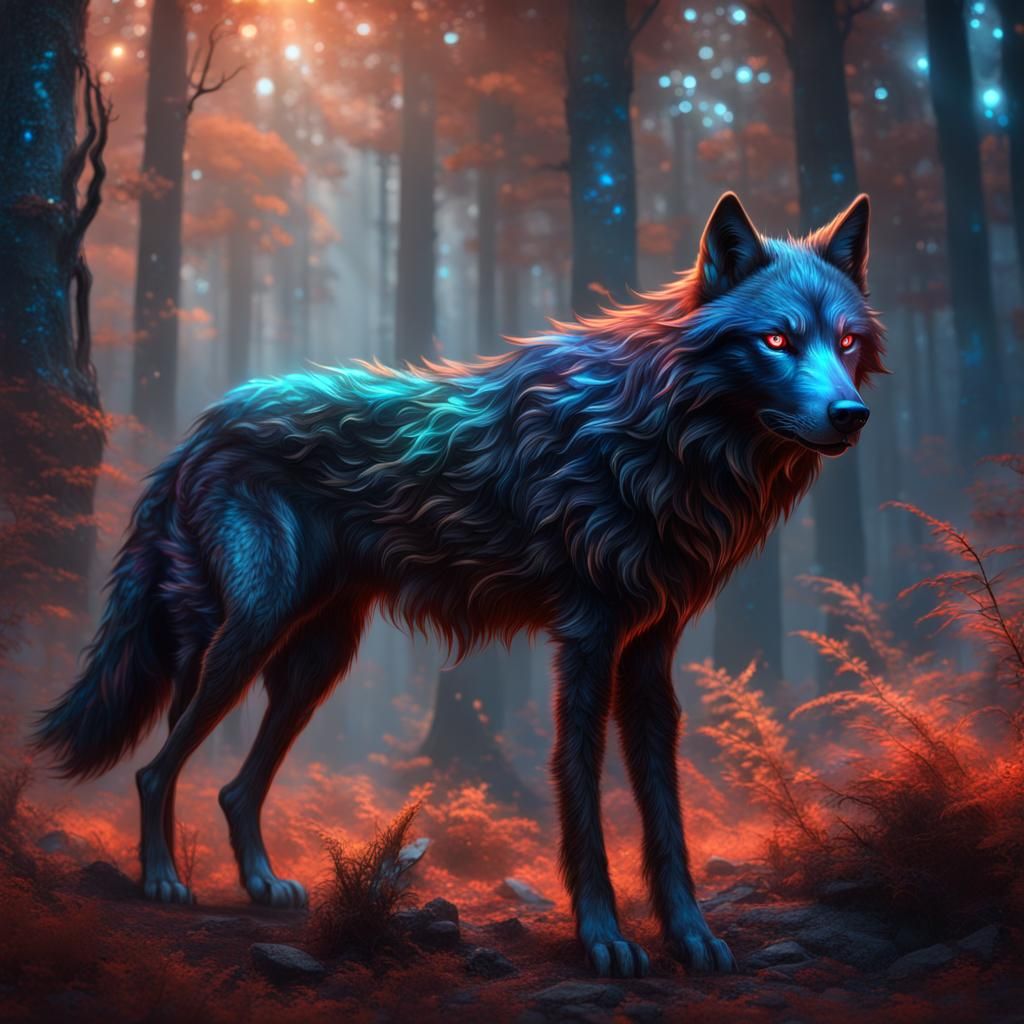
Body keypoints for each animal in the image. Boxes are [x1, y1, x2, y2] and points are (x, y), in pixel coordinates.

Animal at [35, 192, 884, 978]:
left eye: (845, 340)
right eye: (776, 340)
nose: (852, 414)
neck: (657, 433)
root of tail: (201, 428)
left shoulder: (649, 657)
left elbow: (665, 815)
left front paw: (691, 938)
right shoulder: (586, 642)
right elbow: (580, 793)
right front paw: (604, 940)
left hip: (315, 664)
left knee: (235, 788)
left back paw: (261, 886)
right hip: (249, 637)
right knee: (154, 768)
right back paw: (163, 881)